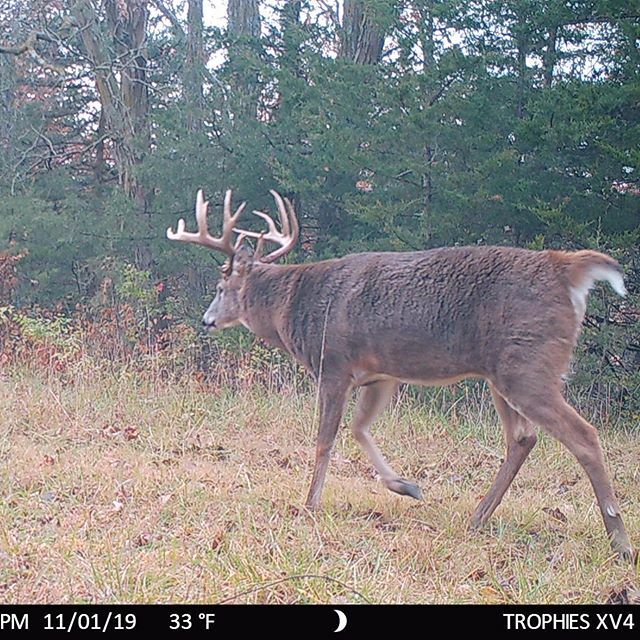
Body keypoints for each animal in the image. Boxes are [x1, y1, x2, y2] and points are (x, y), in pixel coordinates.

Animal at [167, 188, 634, 561]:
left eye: (221, 288)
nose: (208, 320)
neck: (292, 308)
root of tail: (566, 268)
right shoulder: (380, 375)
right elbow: (359, 429)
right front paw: (406, 486)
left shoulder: (334, 364)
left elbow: (325, 439)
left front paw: (309, 505)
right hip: (502, 372)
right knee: (522, 438)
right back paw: (476, 519)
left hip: (529, 364)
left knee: (584, 435)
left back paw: (620, 541)